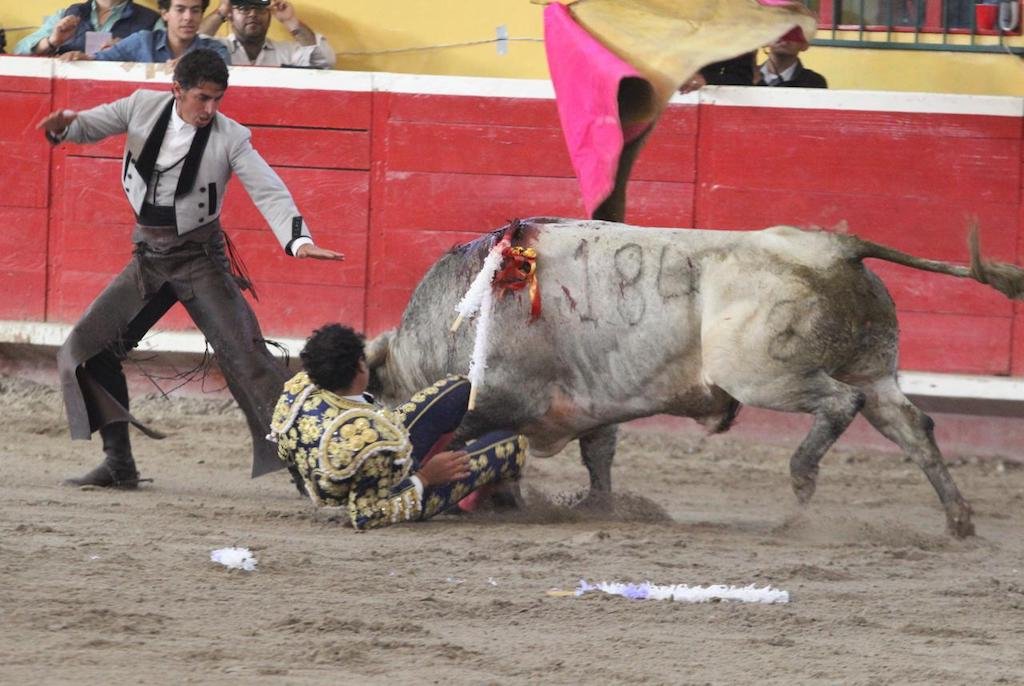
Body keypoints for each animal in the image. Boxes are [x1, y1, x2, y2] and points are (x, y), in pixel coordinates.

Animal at [366, 217, 1024, 537]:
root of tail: (833, 247)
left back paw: (803, 478)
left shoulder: (497, 399)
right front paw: (600, 508)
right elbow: (598, 454)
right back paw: (959, 519)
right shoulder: (591, 404)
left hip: (761, 374)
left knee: (841, 404)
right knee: (912, 425)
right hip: (874, 365)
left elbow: (476, 443)